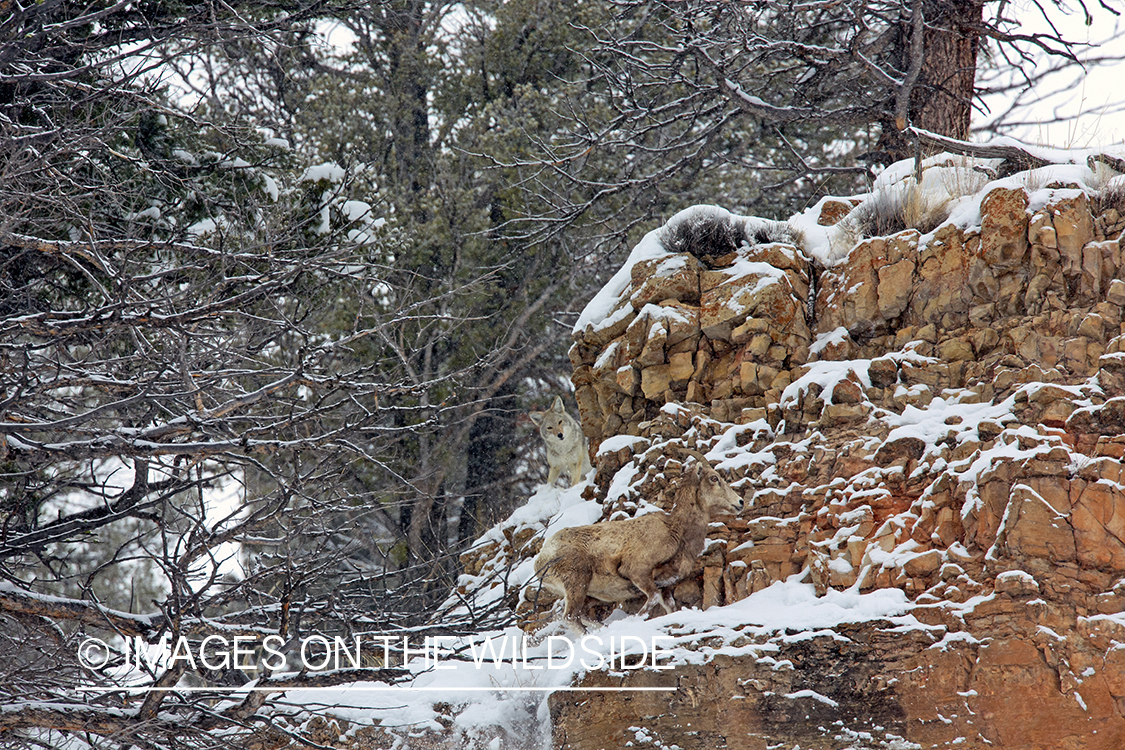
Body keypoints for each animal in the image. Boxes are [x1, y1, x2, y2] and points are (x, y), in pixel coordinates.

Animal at [532, 458, 743, 630]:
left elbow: (670, 606)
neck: (676, 530)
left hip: (584, 594)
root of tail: (542, 558)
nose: (740, 502)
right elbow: (652, 599)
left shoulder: (666, 587)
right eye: (714, 478)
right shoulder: (637, 571)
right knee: (570, 617)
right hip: (576, 583)